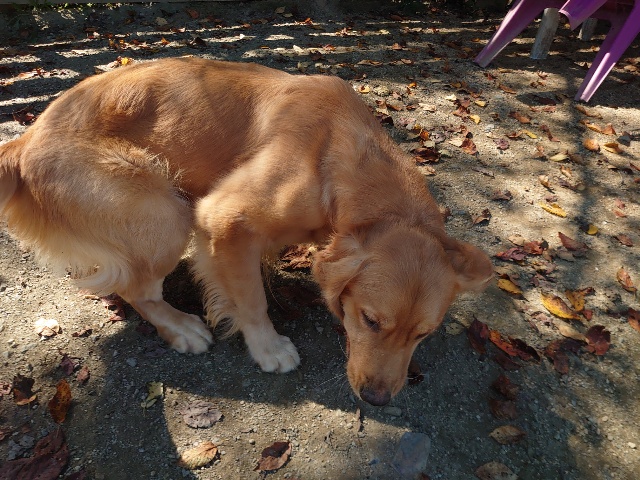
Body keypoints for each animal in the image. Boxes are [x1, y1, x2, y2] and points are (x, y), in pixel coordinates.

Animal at [0, 58, 493, 406]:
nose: (377, 400)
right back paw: (181, 327)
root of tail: (24, 141)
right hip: (168, 212)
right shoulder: (222, 216)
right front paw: (268, 347)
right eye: (370, 320)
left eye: (422, 335)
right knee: (137, 290)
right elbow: (251, 298)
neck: (338, 155)